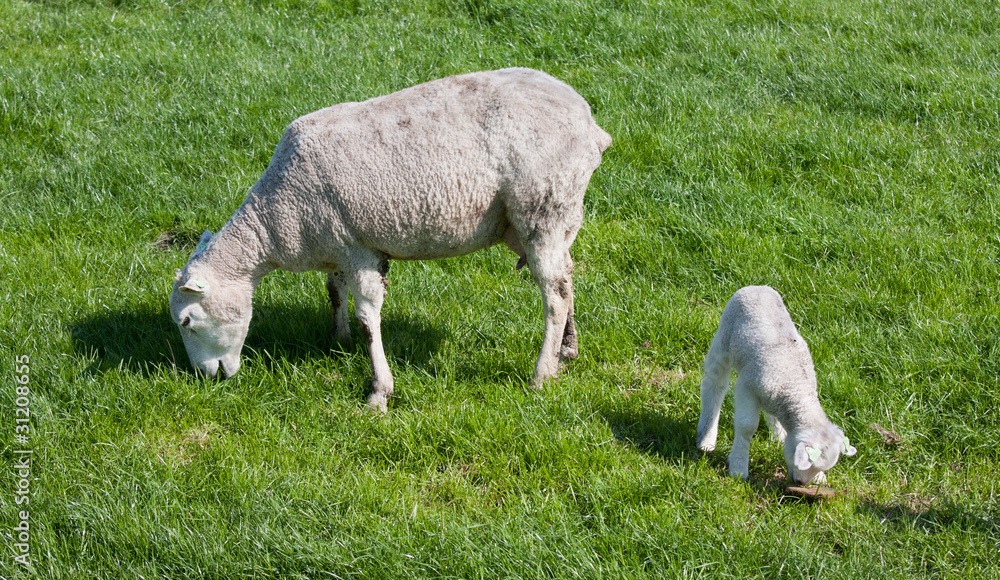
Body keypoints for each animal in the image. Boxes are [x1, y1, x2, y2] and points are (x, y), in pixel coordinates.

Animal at [168, 68, 612, 412]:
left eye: (187, 321)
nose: (207, 378)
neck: (275, 219)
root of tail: (588, 121)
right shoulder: (339, 247)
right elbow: (334, 292)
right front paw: (338, 340)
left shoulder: (360, 250)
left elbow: (369, 319)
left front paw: (379, 391)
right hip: (538, 221)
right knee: (566, 277)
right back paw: (567, 351)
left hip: (543, 207)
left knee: (553, 295)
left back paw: (542, 374)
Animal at [696, 286, 860, 484]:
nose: (800, 483)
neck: (796, 387)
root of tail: (757, 286)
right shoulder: (746, 387)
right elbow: (746, 426)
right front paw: (738, 468)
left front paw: (819, 478)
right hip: (724, 338)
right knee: (714, 385)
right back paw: (706, 437)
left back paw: (778, 435)